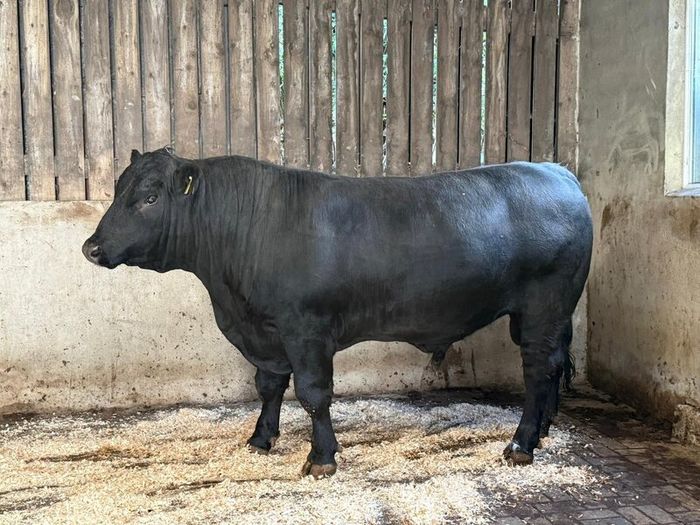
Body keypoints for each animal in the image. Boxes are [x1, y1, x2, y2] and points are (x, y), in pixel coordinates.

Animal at [83, 148, 592, 478]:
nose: (91, 247)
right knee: (550, 367)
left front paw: (321, 459)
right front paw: (261, 439)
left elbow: (313, 394)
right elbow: (269, 386)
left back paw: (520, 444)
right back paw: (543, 432)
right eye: (119, 189)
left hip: (544, 308)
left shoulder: (306, 331)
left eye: (150, 198)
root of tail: (557, 172)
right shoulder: (267, 334)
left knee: (535, 371)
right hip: (540, 317)